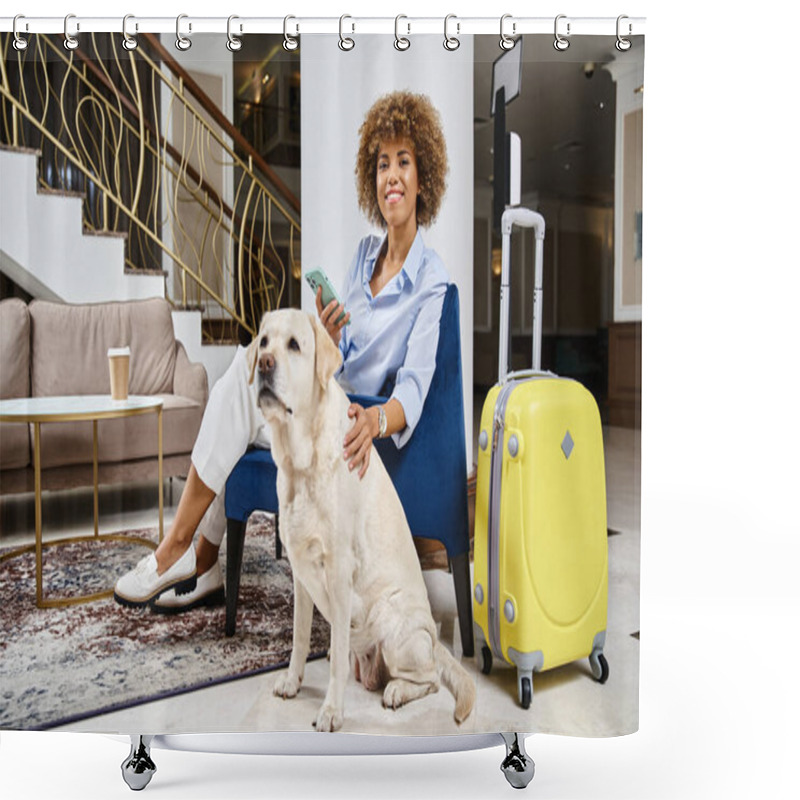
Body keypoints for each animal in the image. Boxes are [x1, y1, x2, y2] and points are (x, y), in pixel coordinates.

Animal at [248, 310, 476, 736]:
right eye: (264, 342)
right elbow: (300, 638)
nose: (265, 364)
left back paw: (397, 691)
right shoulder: (301, 574)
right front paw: (293, 681)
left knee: (431, 679)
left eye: (294, 345)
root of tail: (435, 638)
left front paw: (331, 711)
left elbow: (336, 658)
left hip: (391, 619)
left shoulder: (338, 571)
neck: (302, 462)